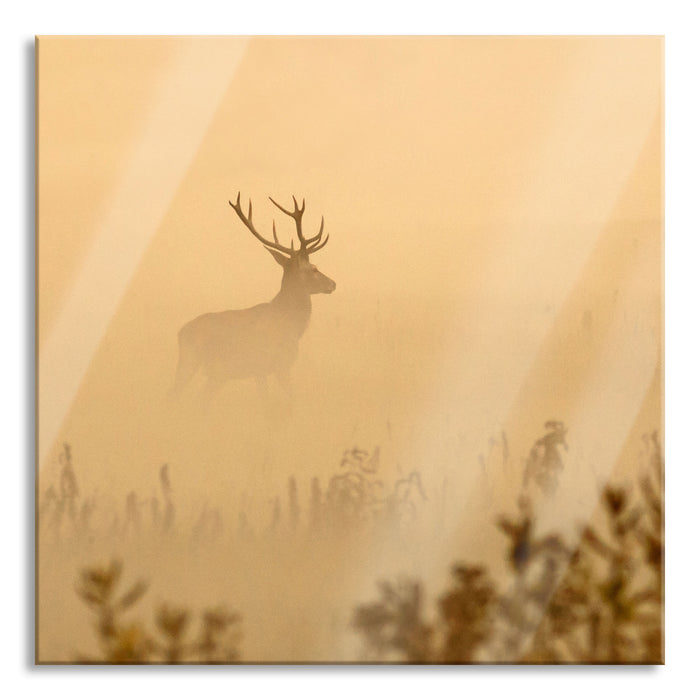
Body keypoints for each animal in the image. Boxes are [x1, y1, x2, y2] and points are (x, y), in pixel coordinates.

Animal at [172, 193, 336, 401]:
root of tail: (180, 333)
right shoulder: (278, 365)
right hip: (194, 363)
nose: (333, 283)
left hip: (213, 373)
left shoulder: (261, 371)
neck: (291, 325)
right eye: (314, 268)